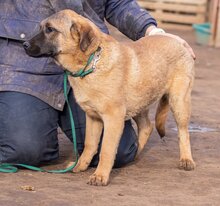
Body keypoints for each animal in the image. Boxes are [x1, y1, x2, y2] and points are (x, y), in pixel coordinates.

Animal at [24, 9, 196, 186]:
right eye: (41, 28)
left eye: (50, 29)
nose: (24, 45)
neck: (92, 62)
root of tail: (177, 41)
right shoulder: (93, 117)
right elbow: (90, 144)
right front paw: (81, 165)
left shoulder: (113, 118)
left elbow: (106, 149)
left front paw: (100, 175)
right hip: (139, 100)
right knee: (147, 126)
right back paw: (136, 154)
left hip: (178, 101)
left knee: (183, 132)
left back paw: (186, 159)